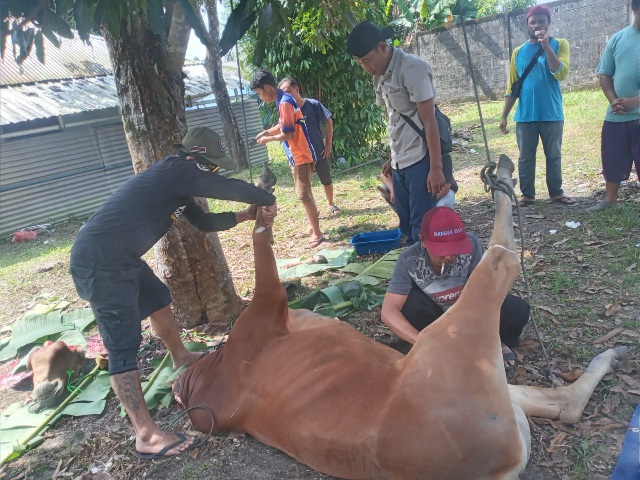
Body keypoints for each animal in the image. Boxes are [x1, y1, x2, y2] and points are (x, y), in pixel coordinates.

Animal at [171, 156, 624, 478]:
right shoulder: (264, 306)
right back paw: (501, 178)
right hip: (454, 339)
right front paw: (262, 192)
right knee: (501, 258)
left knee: (564, 404)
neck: (212, 373)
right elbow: (262, 238)